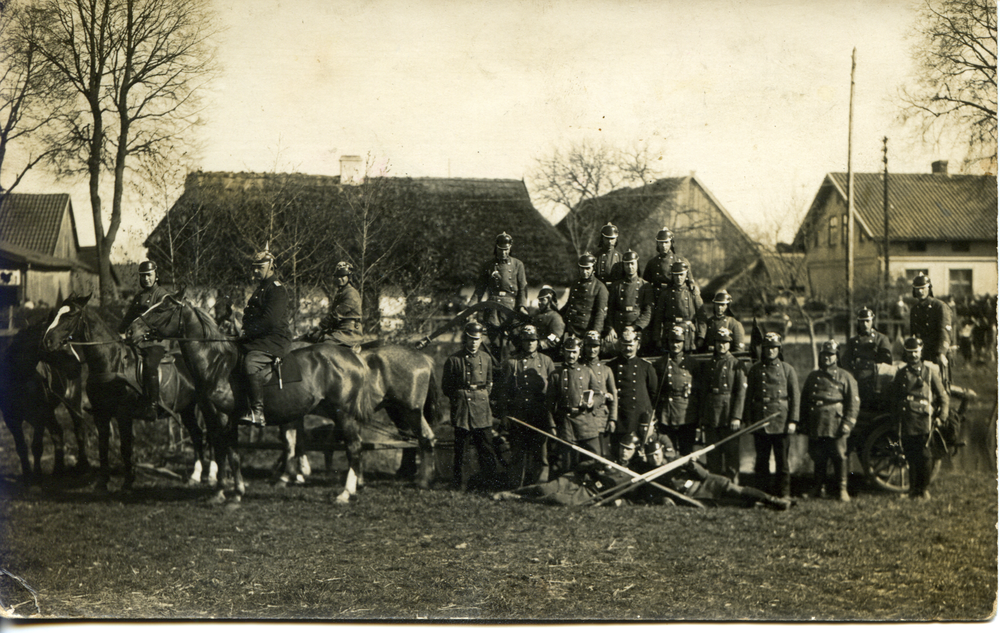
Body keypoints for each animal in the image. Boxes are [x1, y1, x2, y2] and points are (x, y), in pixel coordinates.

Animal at [0, 308, 90, 476]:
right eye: (57, 344)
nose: (77, 366)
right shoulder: (11, 419)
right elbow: (21, 448)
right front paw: (27, 475)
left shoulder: (39, 417)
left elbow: (37, 447)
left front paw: (37, 477)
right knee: (57, 433)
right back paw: (58, 469)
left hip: (72, 400)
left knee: (78, 427)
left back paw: (83, 465)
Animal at [41, 294, 213, 492]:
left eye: (70, 316)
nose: (47, 341)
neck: (110, 362)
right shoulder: (101, 414)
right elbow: (103, 446)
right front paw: (102, 482)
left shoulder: (124, 414)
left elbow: (125, 447)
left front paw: (128, 482)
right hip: (187, 409)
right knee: (197, 434)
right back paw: (196, 476)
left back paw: (208, 475)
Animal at [125, 292, 376, 504]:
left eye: (160, 309)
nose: (130, 331)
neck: (217, 364)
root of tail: (352, 355)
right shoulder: (220, 419)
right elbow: (231, 454)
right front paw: (234, 492)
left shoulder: (222, 418)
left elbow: (223, 452)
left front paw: (222, 492)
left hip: (343, 414)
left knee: (353, 447)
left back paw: (345, 493)